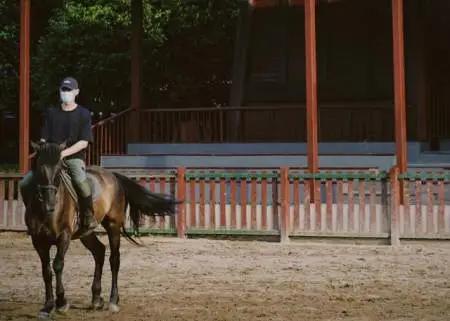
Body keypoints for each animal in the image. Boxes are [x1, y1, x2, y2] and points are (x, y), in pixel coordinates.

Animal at [24, 142, 178, 318]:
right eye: (40, 169)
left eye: (59, 170)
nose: (49, 204)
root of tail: (112, 175)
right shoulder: (38, 241)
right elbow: (46, 271)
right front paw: (48, 306)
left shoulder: (64, 236)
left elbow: (57, 265)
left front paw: (62, 302)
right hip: (86, 233)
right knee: (99, 251)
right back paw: (96, 298)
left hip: (113, 225)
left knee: (114, 259)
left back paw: (113, 300)